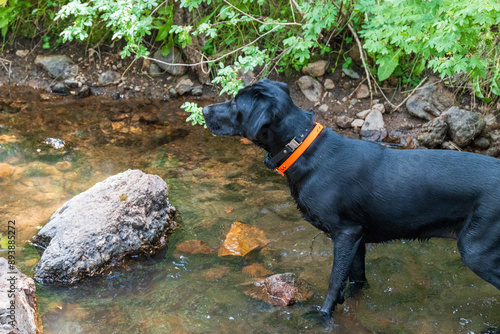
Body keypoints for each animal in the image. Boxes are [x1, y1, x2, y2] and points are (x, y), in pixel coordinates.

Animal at [203, 78, 500, 318]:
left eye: (234, 102)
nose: (204, 110)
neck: (303, 149)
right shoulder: (358, 238)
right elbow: (356, 280)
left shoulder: (345, 234)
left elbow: (334, 282)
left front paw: (322, 316)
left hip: (476, 251)